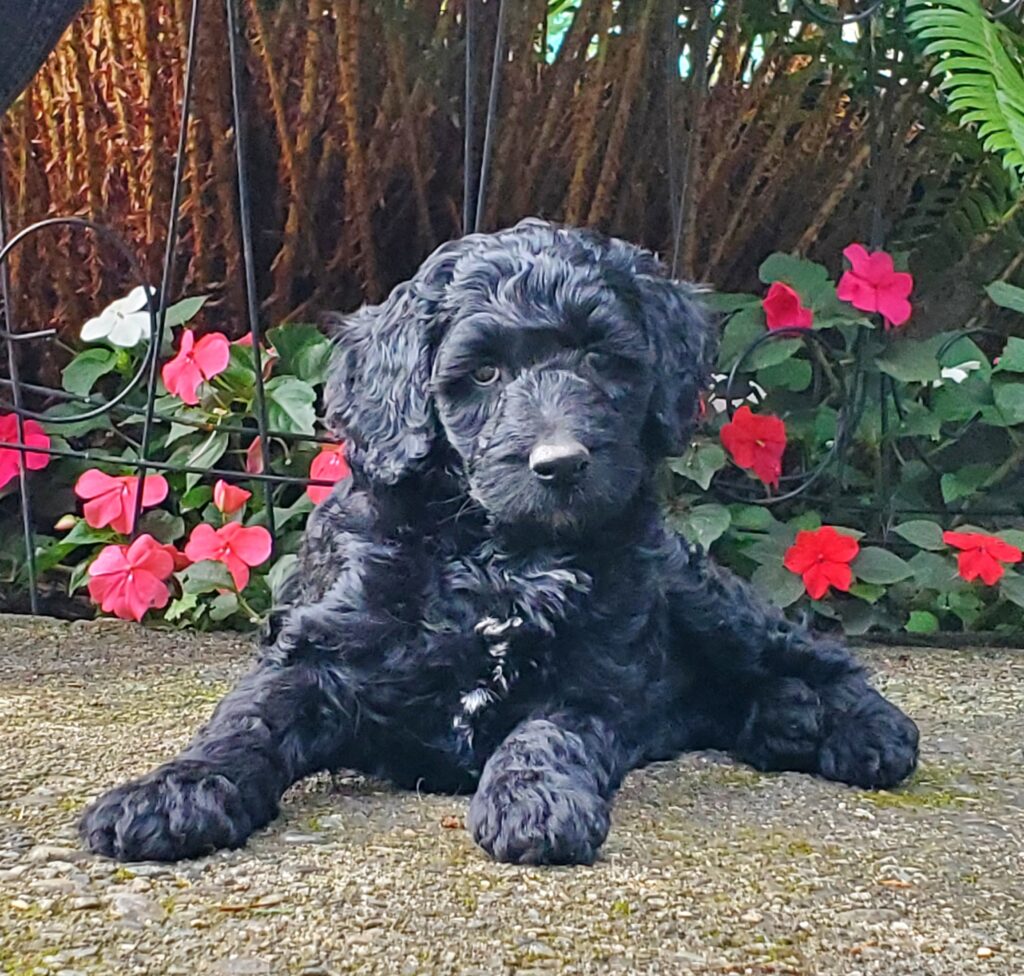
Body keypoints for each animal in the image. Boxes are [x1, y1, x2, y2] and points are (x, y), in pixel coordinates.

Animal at [79, 219, 921, 860]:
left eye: (601, 359)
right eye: (482, 374)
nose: (562, 463)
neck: (495, 551)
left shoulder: (596, 670)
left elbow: (548, 732)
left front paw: (535, 802)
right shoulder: (321, 646)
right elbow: (247, 721)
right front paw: (172, 792)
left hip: (696, 590)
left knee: (808, 654)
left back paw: (862, 729)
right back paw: (785, 721)